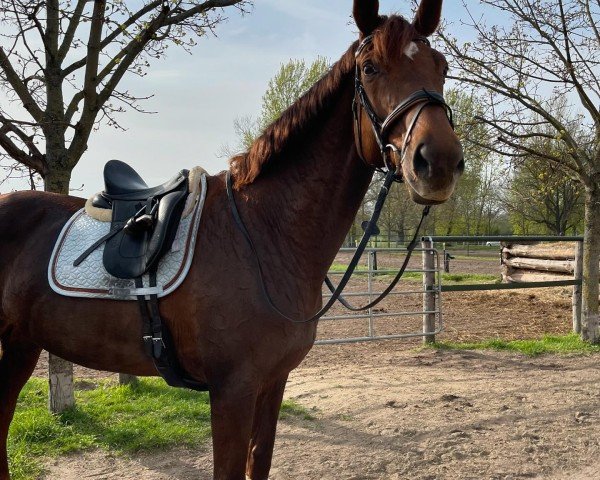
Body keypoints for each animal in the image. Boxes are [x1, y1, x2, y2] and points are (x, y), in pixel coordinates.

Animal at [0, 1, 464, 478]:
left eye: (441, 66)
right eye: (370, 68)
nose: (438, 162)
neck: (265, 235)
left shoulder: (272, 383)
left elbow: (260, 459)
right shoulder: (232, 390)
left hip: (19, 345)